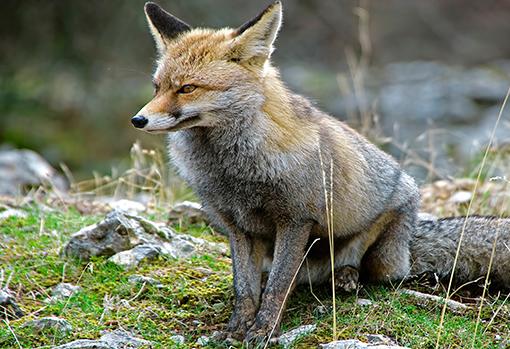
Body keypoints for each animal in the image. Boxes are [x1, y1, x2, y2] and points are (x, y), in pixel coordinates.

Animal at [131, 0, 510, 342]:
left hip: (381, 238)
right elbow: (245, 289)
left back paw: (346, 277)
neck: (233, 169)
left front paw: (264, 331)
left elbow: (277, 288)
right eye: (157, 87)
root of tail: (411, 241)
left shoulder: (296, 220)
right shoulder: (237, 227)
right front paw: (237, 329)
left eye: (187, 88)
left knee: (358, 266)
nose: (138, 119)